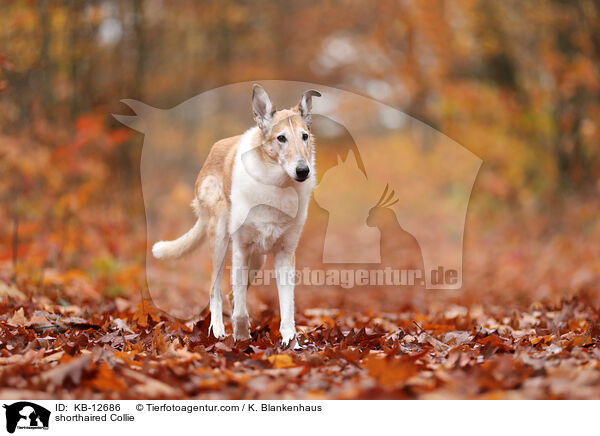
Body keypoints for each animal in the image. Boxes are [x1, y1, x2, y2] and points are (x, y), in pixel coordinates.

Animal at [152, 84, 322, 344]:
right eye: (281, 138)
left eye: (304, 136)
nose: (303, 170)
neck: (276, 184)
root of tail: (213, 150)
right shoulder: (240, 249)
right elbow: (240, 307)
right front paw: (241, 335)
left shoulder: (285, 255)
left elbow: (287, 305)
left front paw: (289, 339)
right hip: (221, 239)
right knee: (216, 290)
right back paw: (218, 330)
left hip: (258, 259)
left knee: (233, 294)